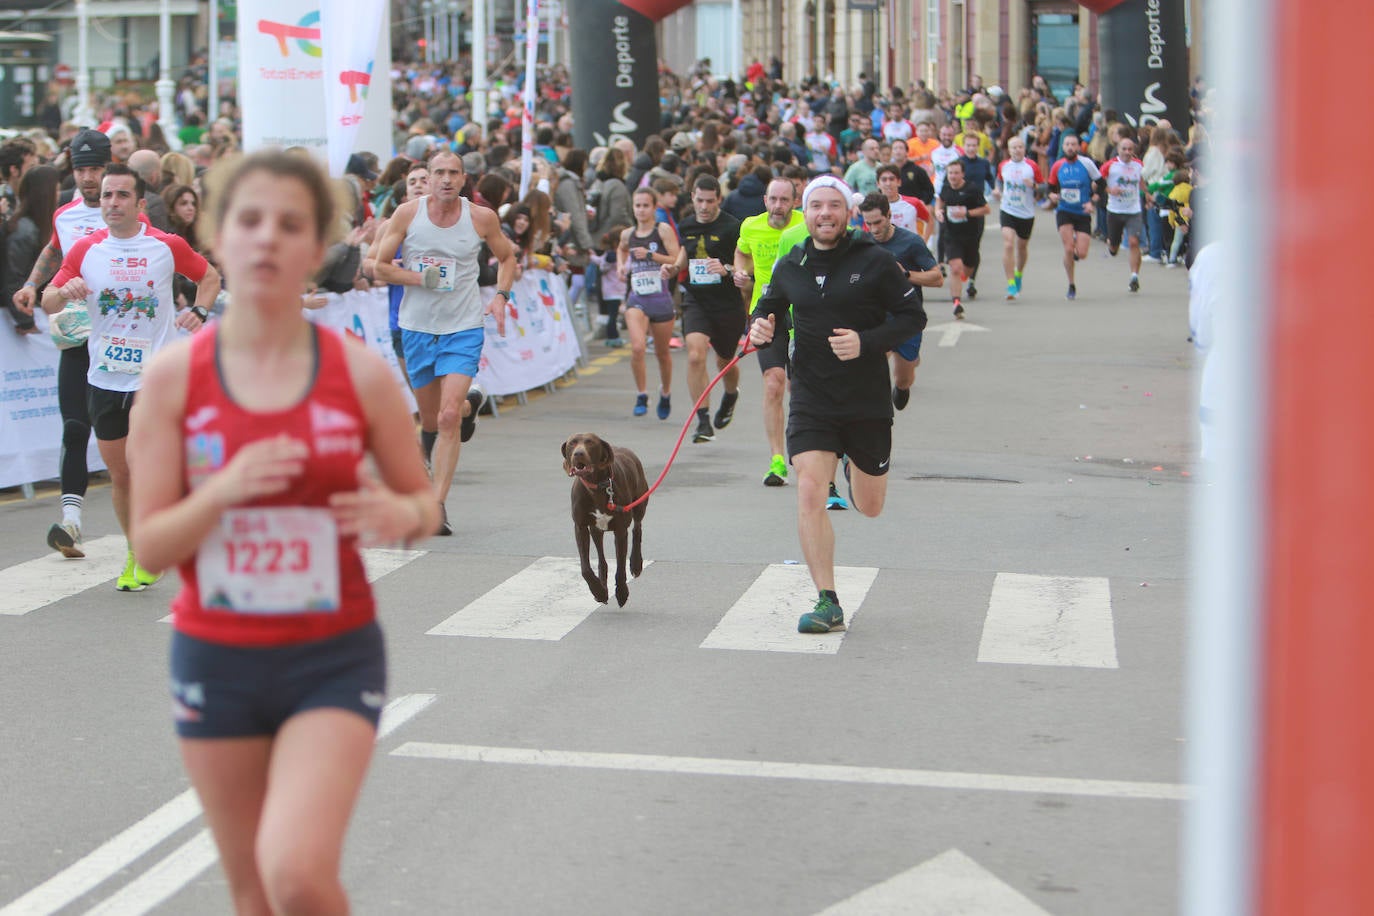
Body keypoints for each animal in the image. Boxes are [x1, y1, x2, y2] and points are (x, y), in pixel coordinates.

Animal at [560, 433, 645, 604]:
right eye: (572, 443)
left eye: (590, 442)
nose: (578, 453)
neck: (596, 486)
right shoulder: (580, 527)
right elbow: (585, 568)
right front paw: (598, 591)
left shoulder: (620, 531)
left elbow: (620, 567)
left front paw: (621, 593)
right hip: (596, 530)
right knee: (601, 558)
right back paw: (602, 584)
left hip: (640, 504)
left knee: (637, 528)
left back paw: (636, 564)